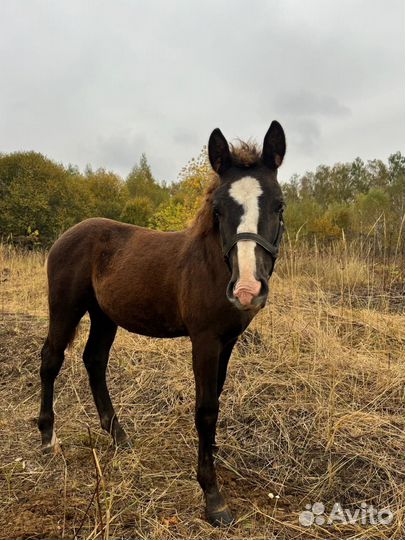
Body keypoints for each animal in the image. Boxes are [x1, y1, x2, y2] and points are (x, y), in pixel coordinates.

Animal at [37, 120, 284, 524]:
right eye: (218, 209)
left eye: (279, 205)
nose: (247, 290)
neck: (213, 265)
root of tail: (68, 233)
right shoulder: (204, 340)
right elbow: (205, 409)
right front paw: (213, 497)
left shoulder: (228, 340)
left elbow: (216, 396)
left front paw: (213, 454)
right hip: (65, 307)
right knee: (51, 360)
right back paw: (47, 438)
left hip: (104, 315)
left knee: (94, 361)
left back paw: (118, 436)